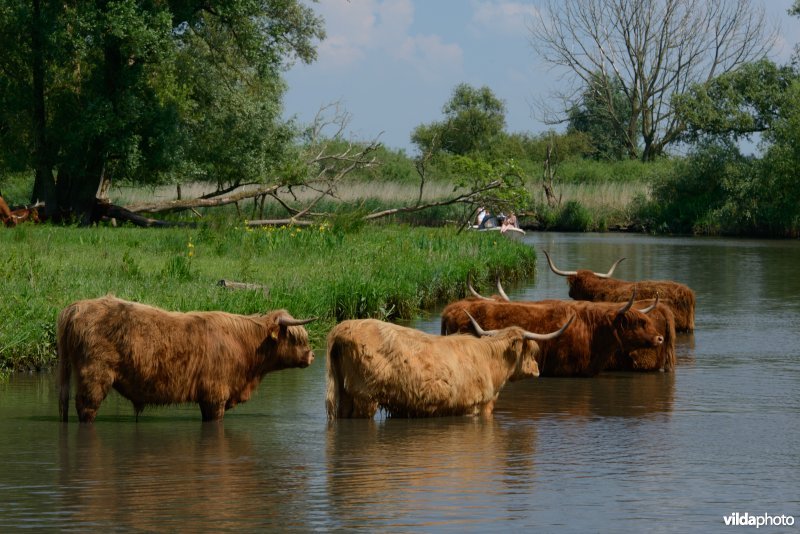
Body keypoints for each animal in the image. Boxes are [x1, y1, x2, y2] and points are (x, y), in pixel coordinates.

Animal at [57, 296, 316, 426]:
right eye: (297, 338)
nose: (312, 355)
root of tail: (76, 306)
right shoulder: (215, 395)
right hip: (95, 376)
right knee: (86, 407)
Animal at [324, 312, 576, 420]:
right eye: (532, 350)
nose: (537, 370)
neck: (491, 362)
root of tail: (341, 329)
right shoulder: (476, 406)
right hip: (365, 397)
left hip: (345, 394)